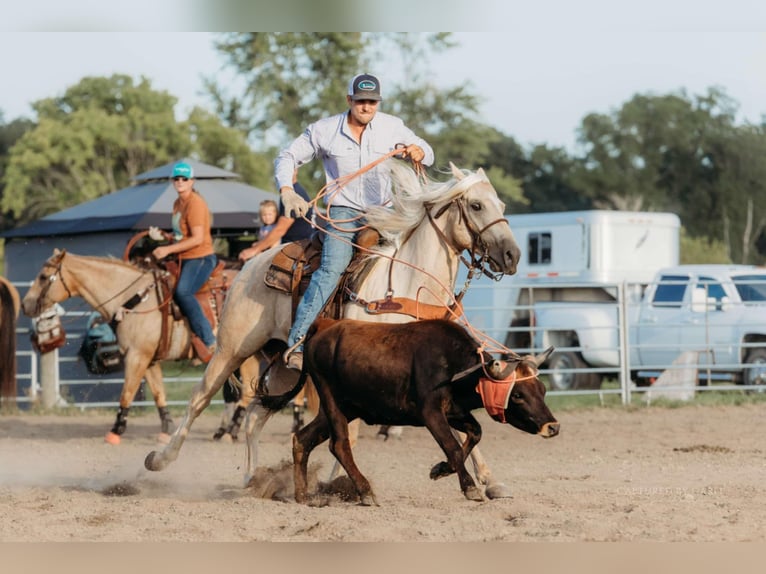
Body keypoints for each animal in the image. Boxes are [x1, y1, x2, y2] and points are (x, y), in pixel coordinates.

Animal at [21, 250, 243, 444]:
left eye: (43, 277)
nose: (24, 305)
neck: (135, 299)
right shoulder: (150, 360)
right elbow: (158, 393)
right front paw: (167, 429)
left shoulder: (137, 356)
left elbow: (127, 392)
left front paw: (116, 430)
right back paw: (226, 431)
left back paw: (230, 431)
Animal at [146, 162, 524, 500]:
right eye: (476, 205)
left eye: (502, 206)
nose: (512, 255)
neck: (407, 285)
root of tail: (248, 265)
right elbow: (350, 432)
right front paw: (342, 481)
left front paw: (489, 480)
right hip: (231, 348)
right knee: (199, 398)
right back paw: (160, 459)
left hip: (283, 367)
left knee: (254, 418)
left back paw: (254, 479)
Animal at [260, 318, 560, 506]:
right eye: (518, 395)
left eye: (542, 389)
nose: (553, 427)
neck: (453, 364)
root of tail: (324, 326)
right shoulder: (430, 413)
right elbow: (452, 446)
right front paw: (471, 488)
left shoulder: (455, 411)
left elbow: (475, 433)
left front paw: (439, 470)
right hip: (331, 400)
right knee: (339, 445)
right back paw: (365, 492)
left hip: (347, 407)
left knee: (303, 439)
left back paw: (302, 496)